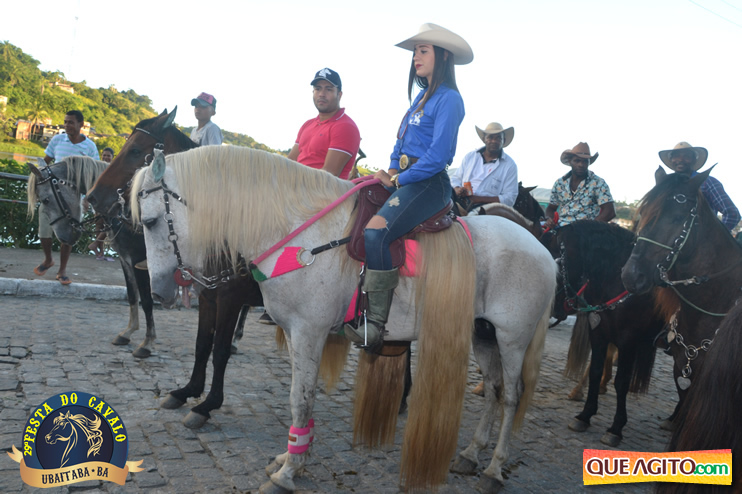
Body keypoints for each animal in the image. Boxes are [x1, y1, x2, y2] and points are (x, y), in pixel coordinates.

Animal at [132, 146, 557, 493]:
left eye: (150, 221)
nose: (160, 291)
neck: (299, 234)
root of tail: (543, 251)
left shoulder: (308, 331)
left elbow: (298, 399)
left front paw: (288, 472)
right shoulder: (294, 332)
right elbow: (295, 395)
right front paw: (292, 457)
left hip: (512, 338)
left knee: (512, 396)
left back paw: (494, 468)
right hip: (482, 333)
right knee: (495, 388)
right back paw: (471, 453)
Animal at [555, 220, 665, 446]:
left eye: (560, 256)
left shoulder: (628, 343)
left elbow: (621, 383)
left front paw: (616, 428)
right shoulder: (599, 334)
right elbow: (595, 371)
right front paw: (585, 415)